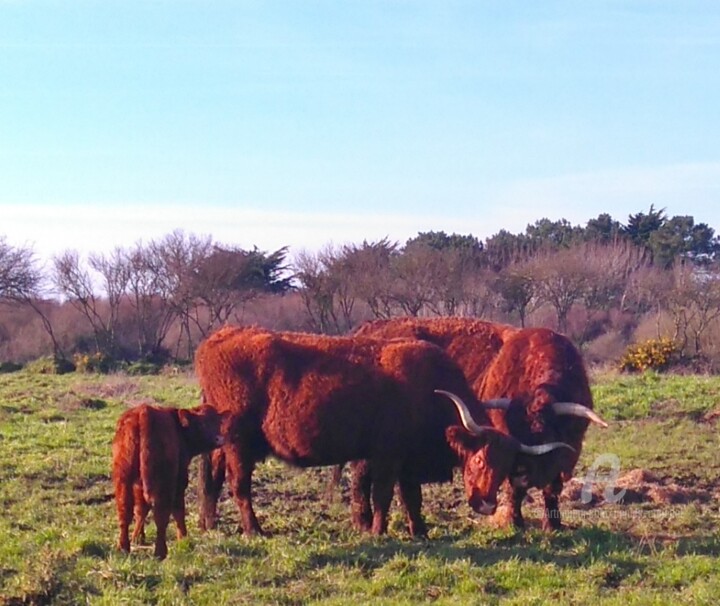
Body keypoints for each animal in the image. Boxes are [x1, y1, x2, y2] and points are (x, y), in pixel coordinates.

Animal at [112, 404, 228, 560]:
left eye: (218, 421)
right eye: (202, 423)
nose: (219, 439)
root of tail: (144, 411)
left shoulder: (137, 484)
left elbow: (141, 509)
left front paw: (138, 537)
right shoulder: (180, 479)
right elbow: (178, 510)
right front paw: (184, 539)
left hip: (123, 479)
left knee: (124, 510)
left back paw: (123, 547)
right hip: (163, 483)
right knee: (161, 515)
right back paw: (160, 552)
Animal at [194, 326, 572, 540]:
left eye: (507, 466)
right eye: (478, 459)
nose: (485, 503)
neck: (427, 391)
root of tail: (219, 337)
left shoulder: (407, 461)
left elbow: (411, 497)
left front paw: (419, 531)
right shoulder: (386, 458)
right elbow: (384, 496)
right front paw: (378, 531)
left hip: (225, 444)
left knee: (213, 477)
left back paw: (209, 523)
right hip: (240, 445)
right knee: (239, 486)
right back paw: (254, 530)